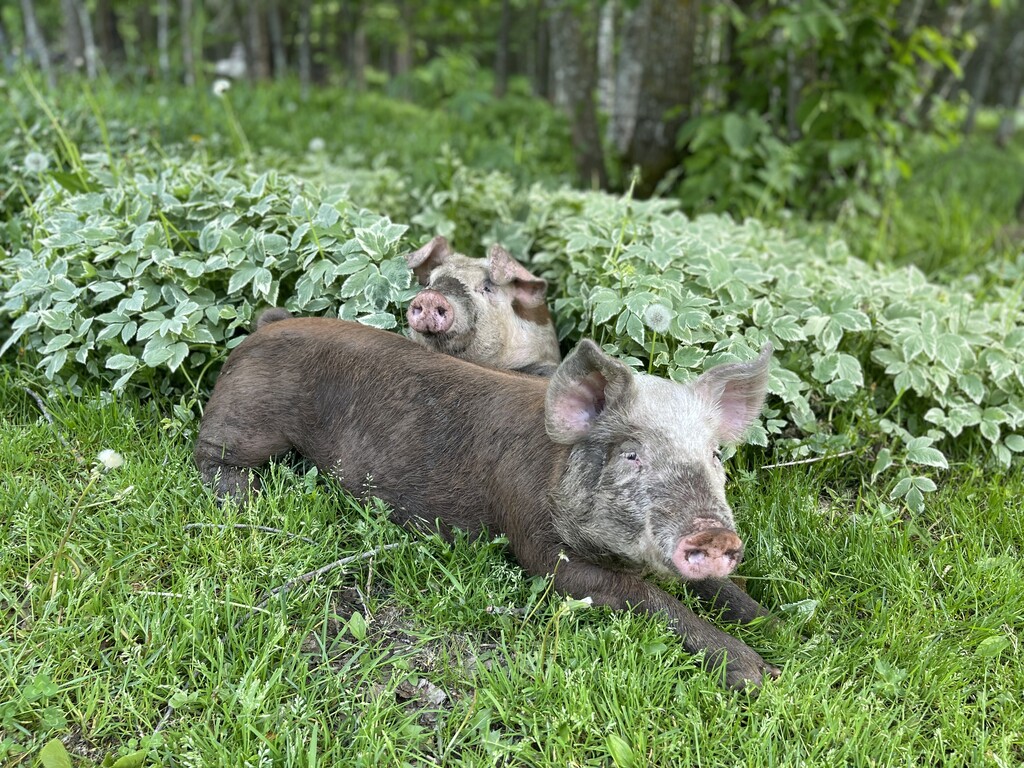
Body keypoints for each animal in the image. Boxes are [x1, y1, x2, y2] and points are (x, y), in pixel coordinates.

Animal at [195, 318, 778, 690]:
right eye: (632, 454)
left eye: (714, 455)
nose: (714, 533)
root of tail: (261, 330)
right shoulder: (541, 546)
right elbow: (645, 597)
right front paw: (759, 676)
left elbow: (720, 591)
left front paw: (772, 623)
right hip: (245, 420)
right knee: (209, 457)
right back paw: (243, 501)